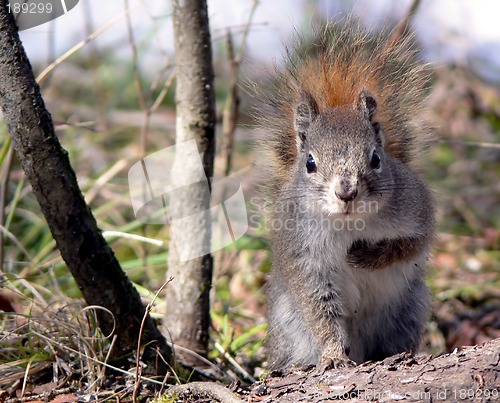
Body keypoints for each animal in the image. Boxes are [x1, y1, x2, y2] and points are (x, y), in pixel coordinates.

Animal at [256, 19, 436, 372]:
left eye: (376, 159)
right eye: (310, 163)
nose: (346, 192)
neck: (351, 224)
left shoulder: (417, 211)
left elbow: (411, 245)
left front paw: (366, 256)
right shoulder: (305, 257)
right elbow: (320, 311)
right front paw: (334, 355)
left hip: (410, 309)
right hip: (287, 322)